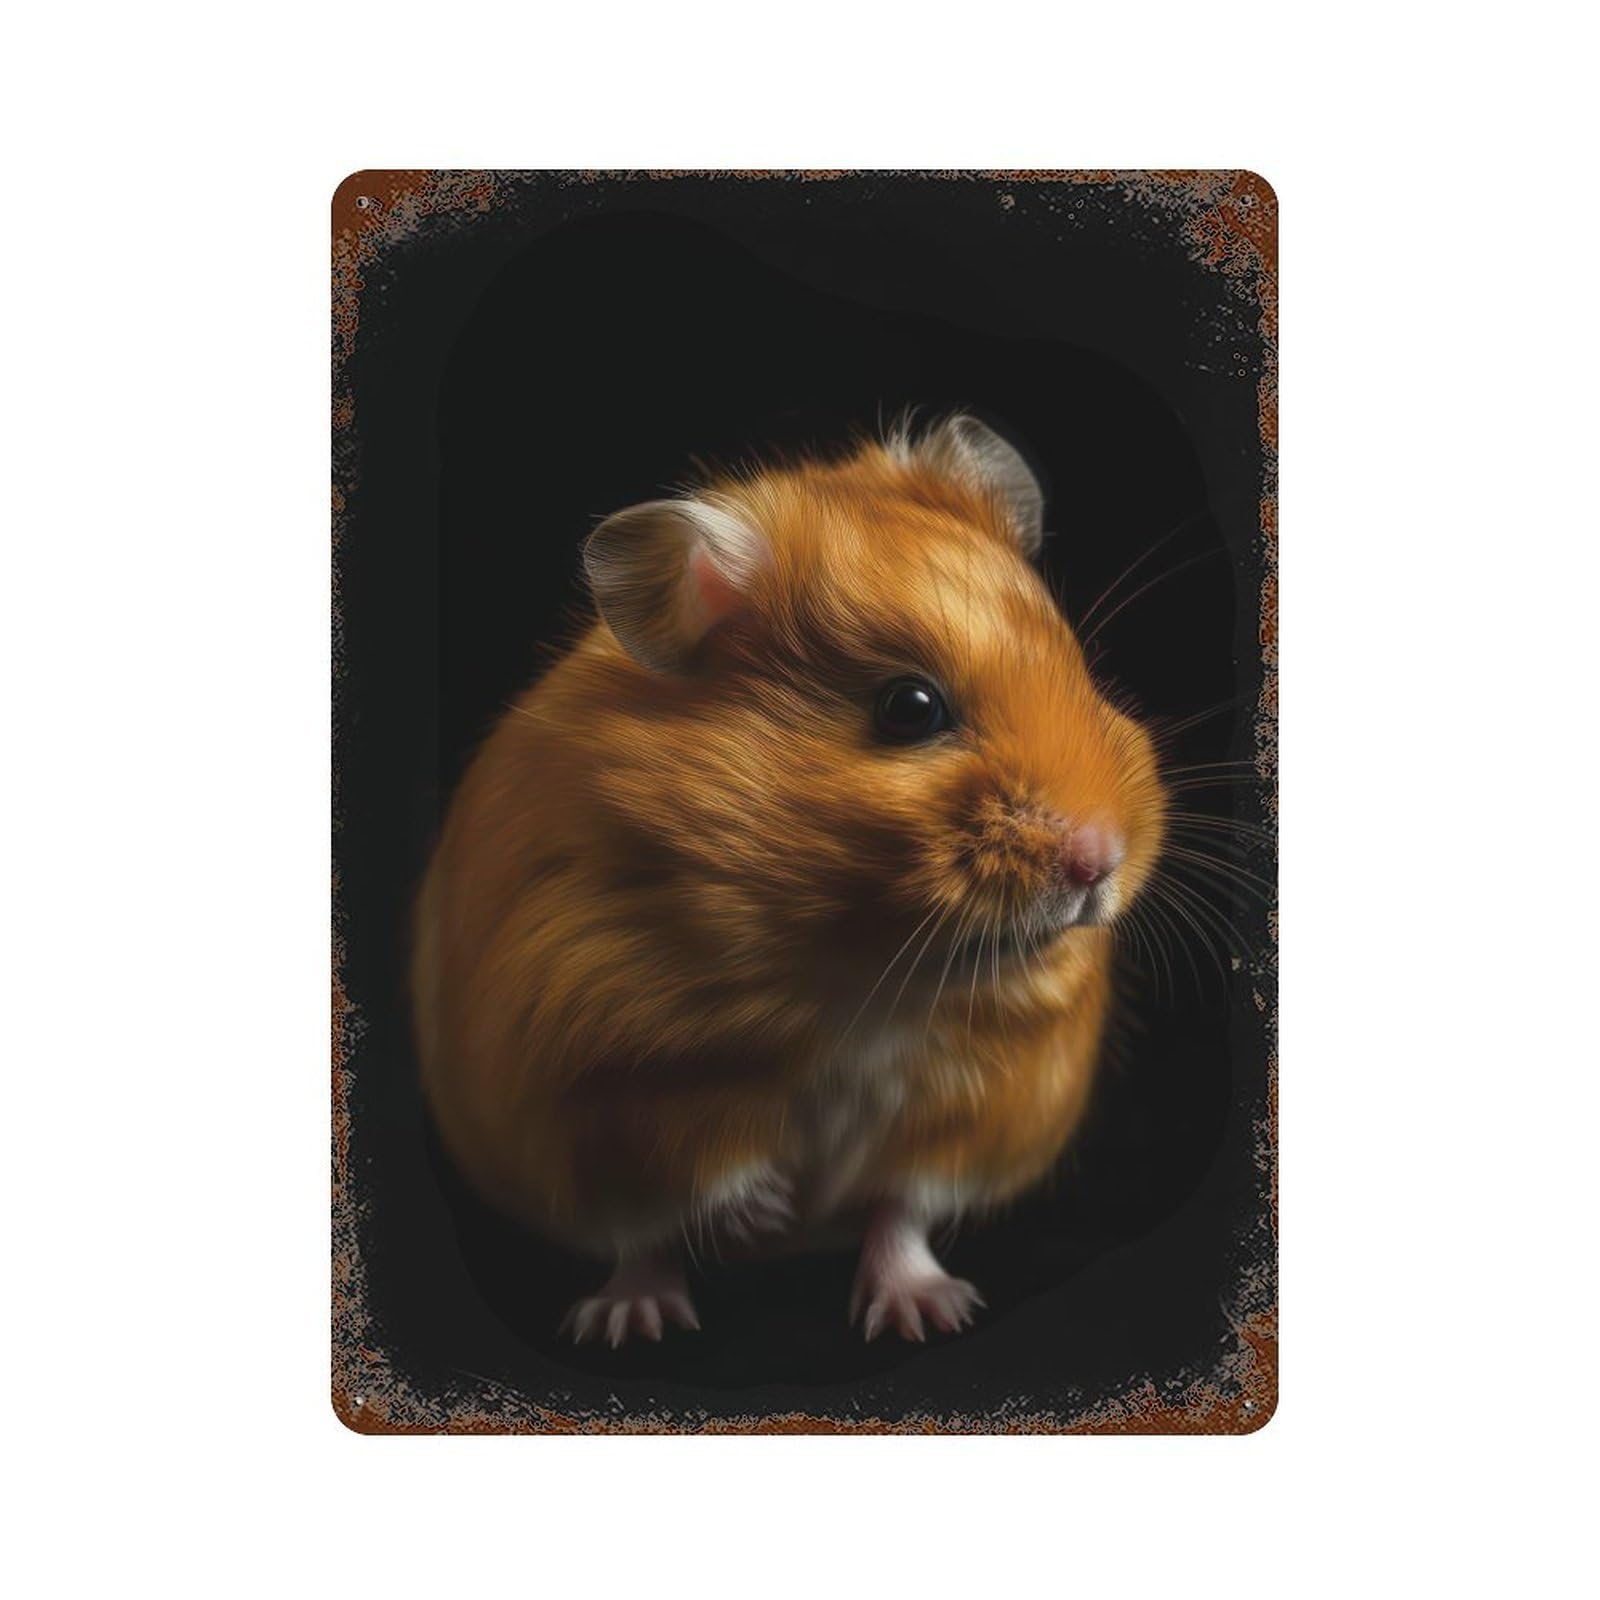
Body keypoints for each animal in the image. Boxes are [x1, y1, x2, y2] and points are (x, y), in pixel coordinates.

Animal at [412, 415, 1168, 1346]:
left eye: (1079, 668)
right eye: (909, 708)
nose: (1100, 860)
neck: (865, 977)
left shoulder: (982, 1099)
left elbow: (904, 1199)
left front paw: (922, 1311)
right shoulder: (612, 1074)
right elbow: (703, 1171)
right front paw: (765, 1210)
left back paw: (925, 1312)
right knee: (640, 1244)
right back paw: (633, 1322)